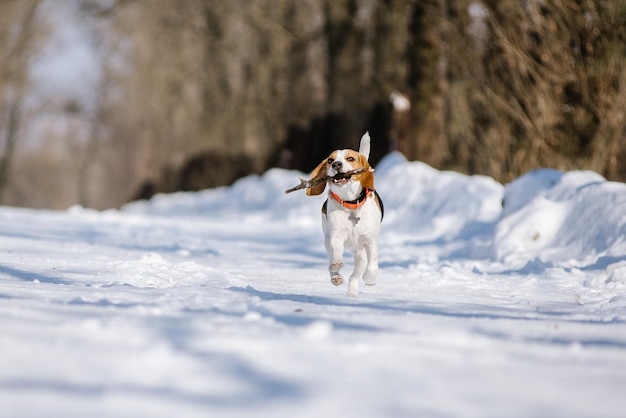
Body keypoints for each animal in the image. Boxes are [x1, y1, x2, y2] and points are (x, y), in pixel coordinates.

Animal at [306, 132, 380, 296]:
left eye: (350, 158)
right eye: (330, 160)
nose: (336, 165)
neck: (350, 203)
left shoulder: (370, 240)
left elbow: (373, 264)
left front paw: (370, 278)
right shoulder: (336, 237)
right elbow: (337, 253)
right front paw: (337, 265)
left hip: (360, 254)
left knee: (355, 274)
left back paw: (352, 291)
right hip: (327, 241)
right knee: (332, 262)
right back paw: (336, 276)